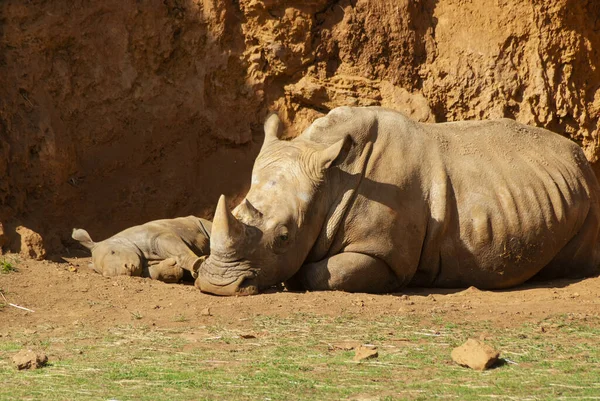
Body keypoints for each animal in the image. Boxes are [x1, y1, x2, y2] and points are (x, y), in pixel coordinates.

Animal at [73, 216, 211, 282]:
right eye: (102, 273)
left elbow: (176, 248)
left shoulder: (158, 236)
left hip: (198, 222)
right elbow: (151, 272)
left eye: (113, 252)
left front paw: (197, 265)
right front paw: (173, 271)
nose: (120, 273)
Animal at [195, 105, 596, 294]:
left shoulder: (384, 253)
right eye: (233, 210)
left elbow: (324, 272)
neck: (332, 182)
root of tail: (580, 157)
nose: (217, 286)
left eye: (283, 237)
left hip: (590, 198)